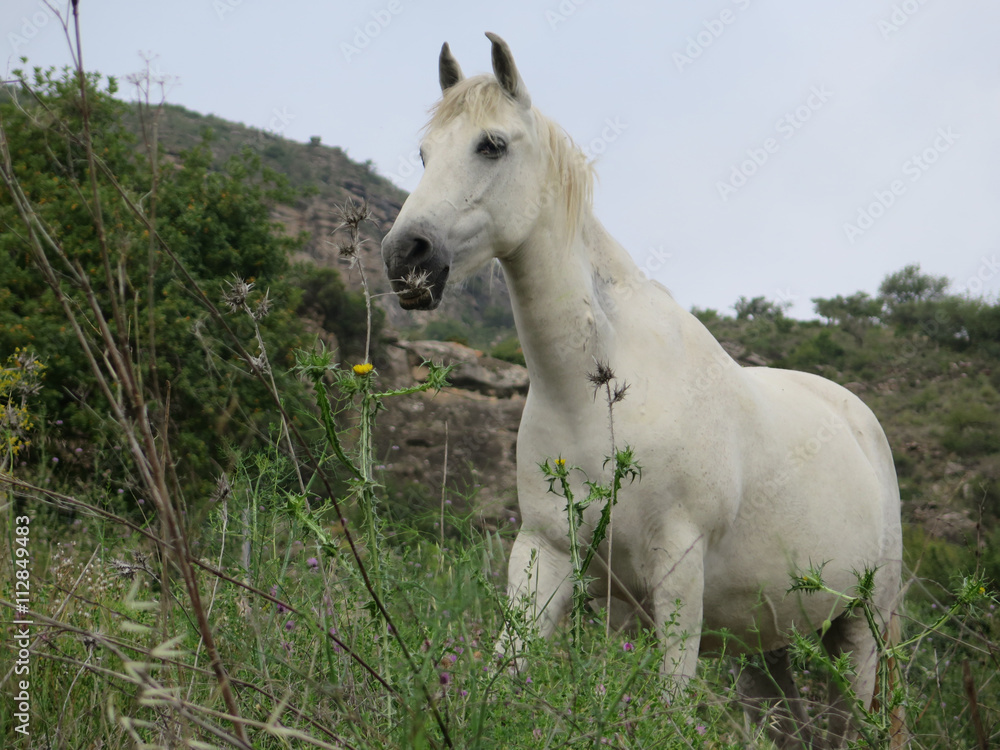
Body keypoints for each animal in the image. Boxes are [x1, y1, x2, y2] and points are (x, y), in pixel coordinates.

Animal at [381, 33, 904, 748]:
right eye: (425, 153)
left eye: (491, 144)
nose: (406, 256)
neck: (598, 396)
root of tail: (858, 419)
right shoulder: (547, 557)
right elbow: (504, 675)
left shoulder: (678, 571)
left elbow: (669, 707)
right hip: (765, 645)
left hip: (861, 631)